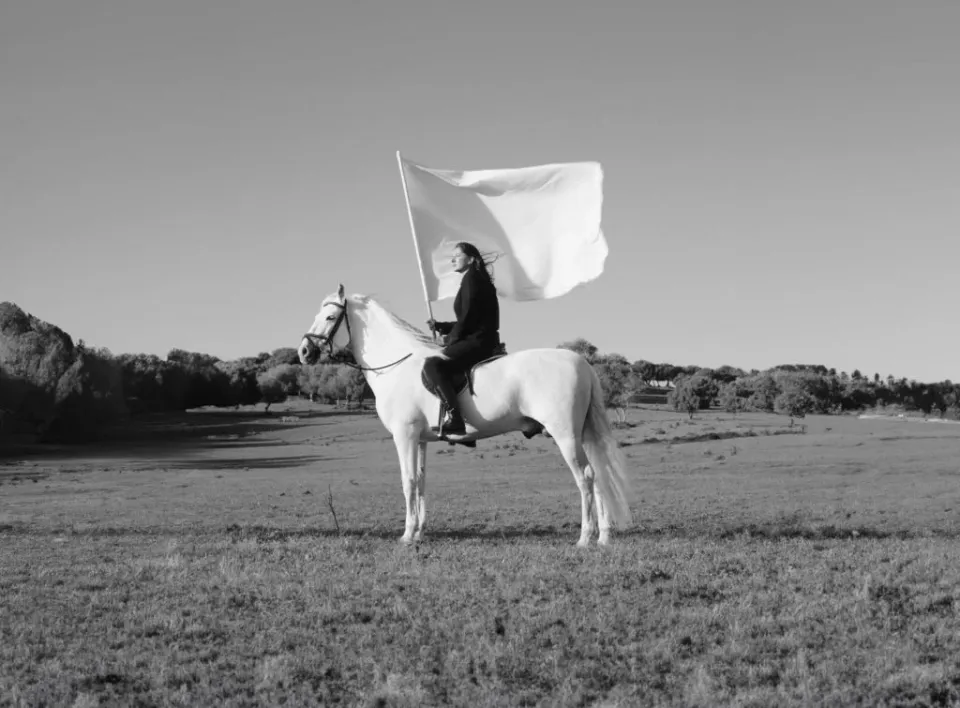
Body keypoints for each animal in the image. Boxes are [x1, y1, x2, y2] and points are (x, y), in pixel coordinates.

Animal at [298, 284, 632, 547]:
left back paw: (585, 537)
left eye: (330, 317)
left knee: (585, 477)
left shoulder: (405, 436)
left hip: (565, 436)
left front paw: (407, 535)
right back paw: (603, 536)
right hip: (581, 435)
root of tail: (581, 361)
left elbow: (408, 481)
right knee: (597, 475)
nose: (303, 352)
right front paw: (419, 532)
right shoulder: (421, 440)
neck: (397, 365)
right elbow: (421, 482)